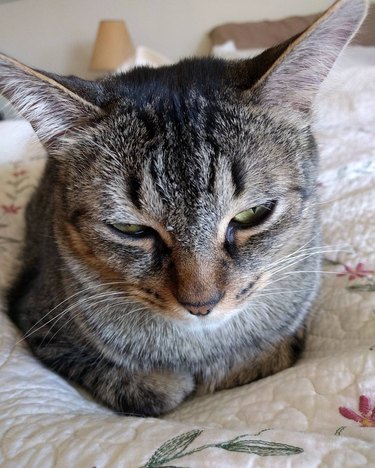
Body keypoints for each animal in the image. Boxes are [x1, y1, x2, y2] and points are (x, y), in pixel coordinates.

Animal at [0, 0, 368, 416]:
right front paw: (167, 380)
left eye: (252, 214)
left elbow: (264, 356)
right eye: (131, 229)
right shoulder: (35, 316)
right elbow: (148, 389)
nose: (201, 304)